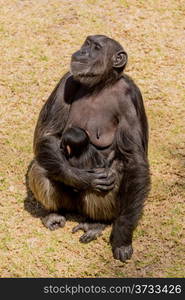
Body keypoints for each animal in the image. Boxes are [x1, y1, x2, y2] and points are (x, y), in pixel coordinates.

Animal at [28, 34, 150, 262]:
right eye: (87, 43)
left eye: (96, 48)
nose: (82, 51)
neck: (100, 85)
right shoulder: (65, 81)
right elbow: (48, 134)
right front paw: (83, 178)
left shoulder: (131, 98)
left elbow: (134, 160)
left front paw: (122, 237)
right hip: (66, 200)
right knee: (41, 165)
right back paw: (53, 215)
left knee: (116, 172)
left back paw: (95, 224)